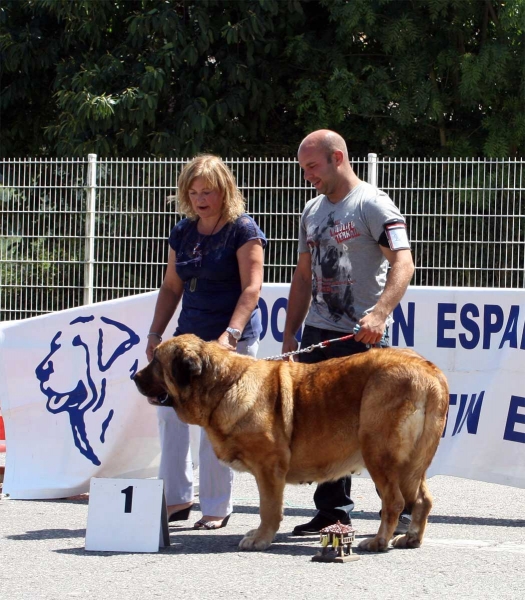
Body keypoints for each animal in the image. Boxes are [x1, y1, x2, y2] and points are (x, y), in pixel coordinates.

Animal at [133, 332, 448, 552]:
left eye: (156, 362)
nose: (134, 376)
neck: (224, 385)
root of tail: (429, 368)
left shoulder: (268, 468)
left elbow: (268, 508)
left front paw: (260, 539)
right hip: (412, 465)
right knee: (422, 500)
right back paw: (410, 539)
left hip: (378, 452)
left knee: (394, 501)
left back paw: (378, 542)